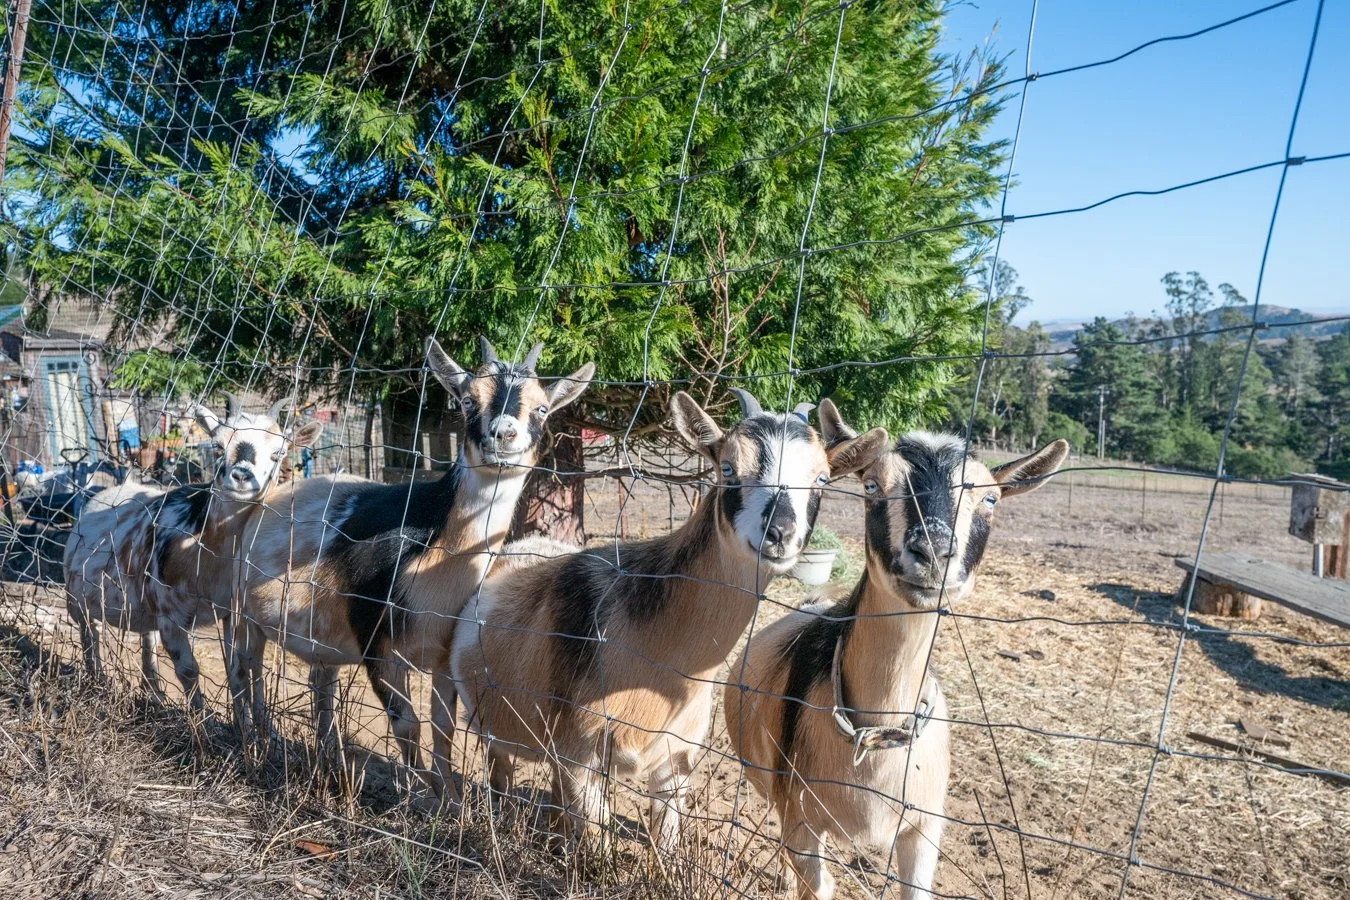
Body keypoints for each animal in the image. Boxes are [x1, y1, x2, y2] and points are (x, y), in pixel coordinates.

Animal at [63, 395, 321, 713]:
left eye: (279, 452)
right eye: (217, 445)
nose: (241, 476)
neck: (206, 550)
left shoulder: (229, 612)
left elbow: (237, 671)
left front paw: (242, 724)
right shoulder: (170, 617)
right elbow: (188, 670)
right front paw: (202, 721)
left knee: (145, 638)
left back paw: (154, 692)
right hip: (76, 598)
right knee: (90, 633)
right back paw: (96, 681)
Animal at [230, 336, 593, 798]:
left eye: (543, 408)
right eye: (467, 401)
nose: (503, 434)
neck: (432, 552)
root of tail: (272, 496)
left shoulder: (442, 656)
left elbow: (443, 727)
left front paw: (451, 801)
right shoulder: (377, 645)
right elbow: (407, 725)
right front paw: (423, 798)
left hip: (320, 641)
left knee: (319, 685)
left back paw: (327, 760)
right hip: (243, 614)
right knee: (245, 669)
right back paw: (253, 739)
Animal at [450, 389, 887, 850]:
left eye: (821, 479)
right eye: (727, 468)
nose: (780, 533)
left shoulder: (675, 762)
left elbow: (666, 838)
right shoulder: (578, 755)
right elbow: (597, 844)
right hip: (492, 725)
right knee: (499, 771)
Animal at [724, 419, 1068, 900]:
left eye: (990, 498)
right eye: (872, 486)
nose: (933, 552)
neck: (878, 731)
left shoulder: (925, 828)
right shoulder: (801, 818)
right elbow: (817, 882)